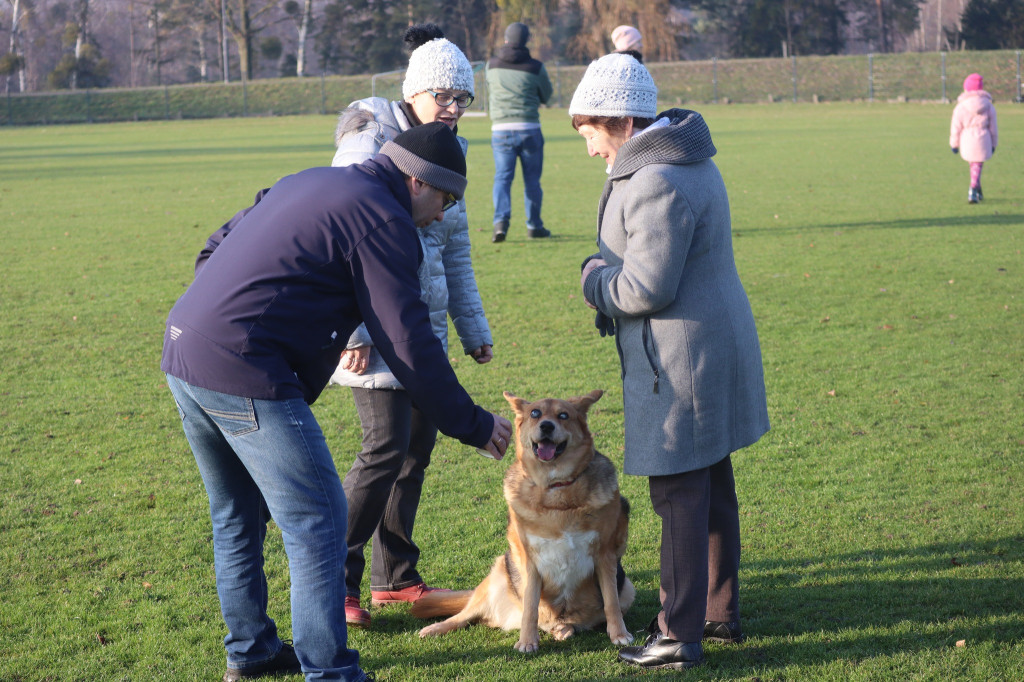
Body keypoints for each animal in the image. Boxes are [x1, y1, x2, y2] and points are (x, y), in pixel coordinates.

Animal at [409, 387, 630, 647]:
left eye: (563, 415)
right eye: (535, 413)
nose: (547, 426)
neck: (555, 489)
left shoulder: (605, 555)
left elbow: (611, 601)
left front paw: (619, 634)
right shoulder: (530, 561)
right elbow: (530, 606)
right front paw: (527, 642)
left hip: (627, 589)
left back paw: (563, 629)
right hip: (497, 575)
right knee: (464, 614)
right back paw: (436, 628)